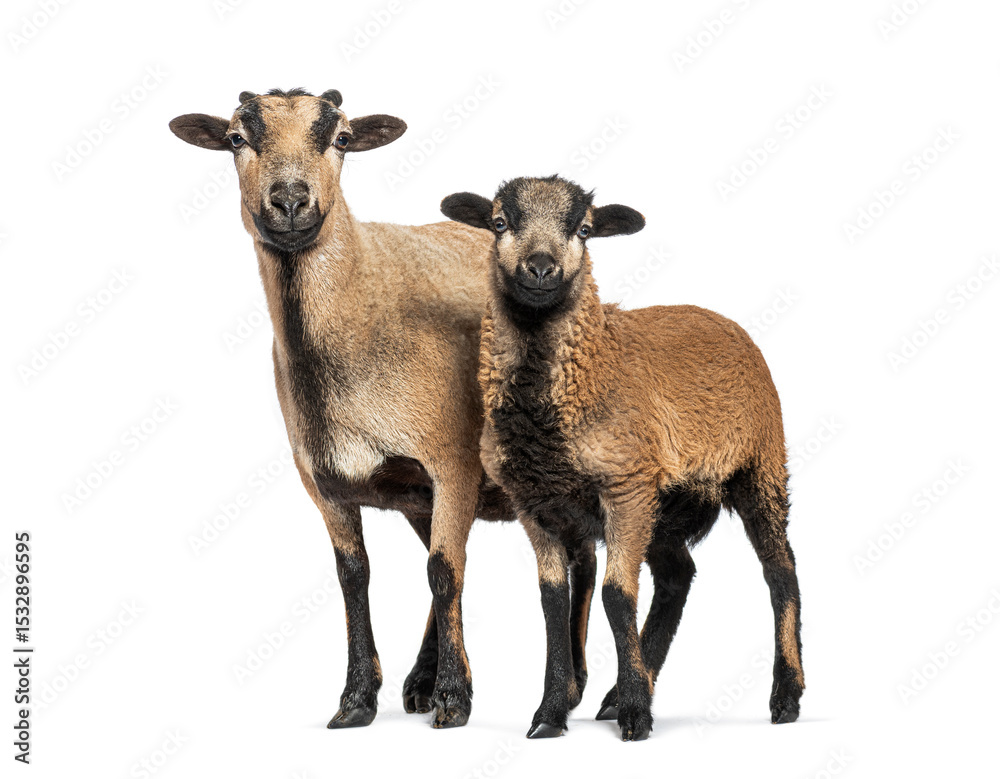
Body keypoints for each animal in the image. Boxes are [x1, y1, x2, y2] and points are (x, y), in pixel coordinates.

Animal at [169, 92, 597, 730]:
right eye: (236, 139)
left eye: (341, 139)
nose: (290, 201)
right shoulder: (325, 482)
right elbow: (357, 578)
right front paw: (356, 701)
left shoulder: (452, 464)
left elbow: (444, 572)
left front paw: (453, 700)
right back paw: (421, 681)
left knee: (573, 557)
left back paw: (569, 687)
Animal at [441, 175, 805, 741]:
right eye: (499, 222)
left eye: (584, 229)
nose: (540, 268)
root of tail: (722, 318)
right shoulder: (534, 504)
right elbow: (552, 600)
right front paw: (550, 714)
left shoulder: (626, 487)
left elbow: (616, 594)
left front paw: (636, 715)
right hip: (668, 505)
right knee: (678, 577)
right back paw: (624, 691)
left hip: (760, 466)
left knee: (780, 571)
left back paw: (785, 696)